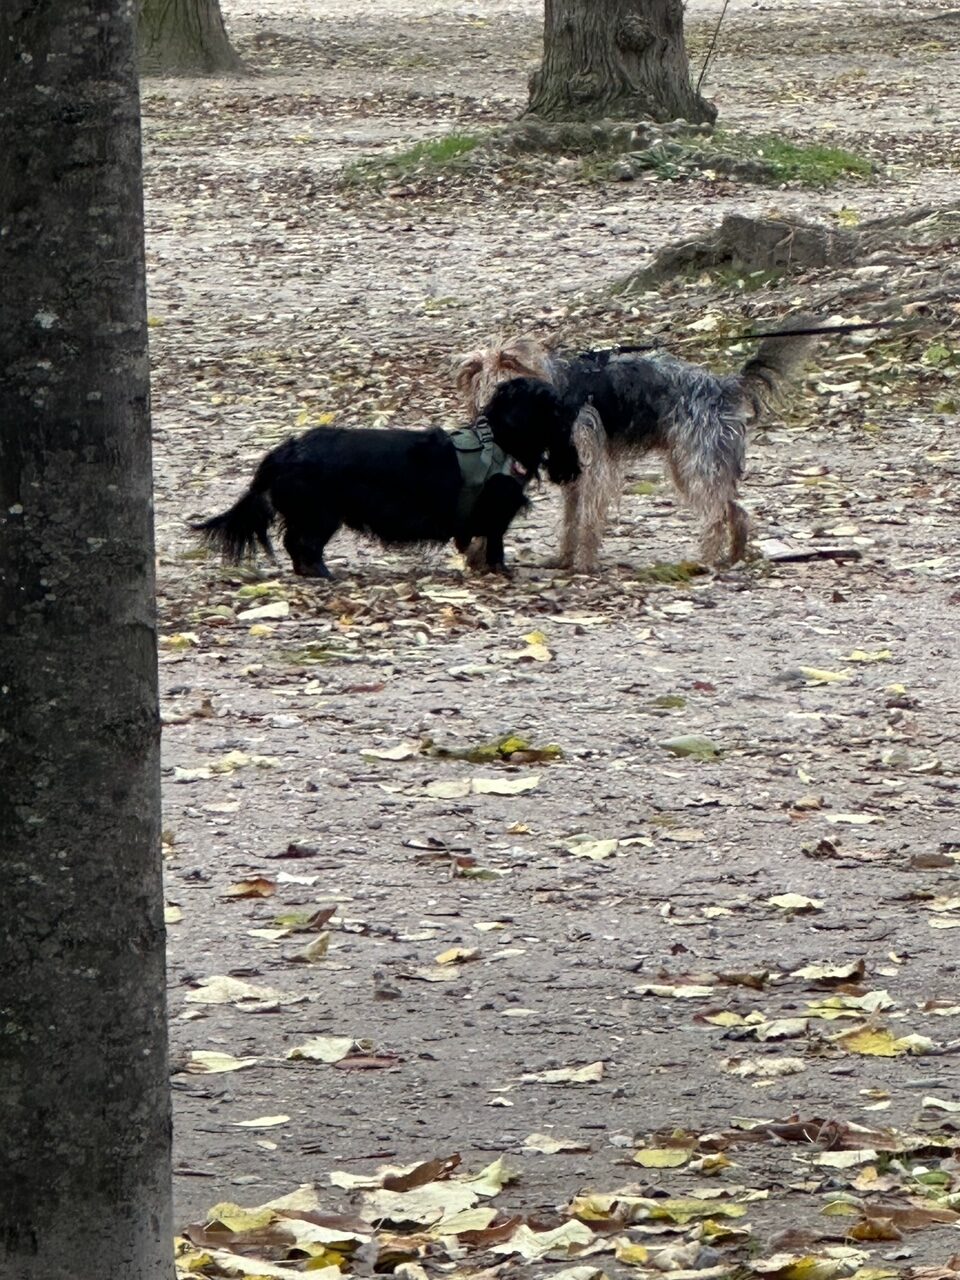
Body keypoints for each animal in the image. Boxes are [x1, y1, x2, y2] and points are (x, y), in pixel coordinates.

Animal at [195, 373, 578, 581]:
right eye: (552, 405)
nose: (573, 402)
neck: (500, 439)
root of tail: (285, 451)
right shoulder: (498, 512)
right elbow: (496, 545)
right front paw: (500, 570)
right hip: (321, 514)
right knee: (303, 544)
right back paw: (323, 574)